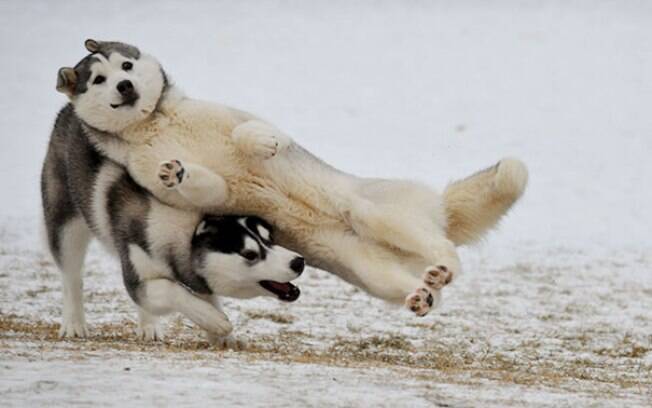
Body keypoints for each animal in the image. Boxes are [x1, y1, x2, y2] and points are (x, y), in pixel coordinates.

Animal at [41, 109, 306, 342]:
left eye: (268, 238)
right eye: (249, 254)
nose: (298, 262)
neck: (186, 230)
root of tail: (69, 109)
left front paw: (223, 337)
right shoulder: (138, 276)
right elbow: (169, 289)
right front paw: (215, 321)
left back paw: (149, 327)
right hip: (67, 225)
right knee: (72, 277)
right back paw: (74, 324)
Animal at [53, 39, 528, 316]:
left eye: (127, 66)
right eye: (100, 78)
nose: (125, 88)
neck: (156, 123)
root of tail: (440, 209)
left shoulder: (238, 116)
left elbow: (252, 132)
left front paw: (262, 144)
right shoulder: (179, 185)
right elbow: (202, 184)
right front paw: (180, 171)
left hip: (371, 211)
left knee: (440, 245)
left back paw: (442, 267)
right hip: (373, 271)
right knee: (427, 279)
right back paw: (426, 291)